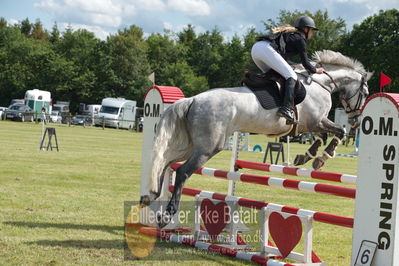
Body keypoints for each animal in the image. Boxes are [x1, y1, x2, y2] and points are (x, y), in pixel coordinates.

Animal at [145, 50, 374, 227]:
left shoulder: (309, 125)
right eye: (365, 93)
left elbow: (323, 137)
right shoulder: (314, 121)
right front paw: (321, 158)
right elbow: (337, 133)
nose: (356, 120)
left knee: (165, 164)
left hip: (187, 146)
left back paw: (151, 196)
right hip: (208, 147)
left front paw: (306, 157)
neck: (321, 83)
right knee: (182, 171)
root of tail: (192, 100)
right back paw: (166, 216)